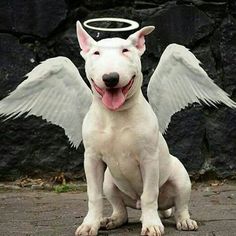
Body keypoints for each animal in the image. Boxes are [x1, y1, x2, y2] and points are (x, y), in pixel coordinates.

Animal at [0, 20, 236, 236]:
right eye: (96, 53)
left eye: (126, 50)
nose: (110, 78)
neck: (115, 115)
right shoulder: (92, 160)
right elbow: (94, 196)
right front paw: (90, 225)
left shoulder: (148, 159)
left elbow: (149, 194)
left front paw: (152, 225)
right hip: (109, 182)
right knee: (120, 210)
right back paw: (111, 221)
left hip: (180, 177)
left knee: (179, 205)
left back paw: (182, 221)